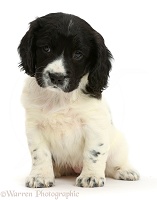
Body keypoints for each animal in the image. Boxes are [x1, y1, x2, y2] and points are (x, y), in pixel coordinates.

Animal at [17, 12, 139, 188]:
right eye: (46, 48)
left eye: (78, 54)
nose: (56, 77)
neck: (60, 98)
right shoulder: (34, 126)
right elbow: (39, 153)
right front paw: (40, 176)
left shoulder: (94, 125)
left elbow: (93, 152)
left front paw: (91, 176)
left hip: (118, 144)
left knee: (113, 165)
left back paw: (125, 170)